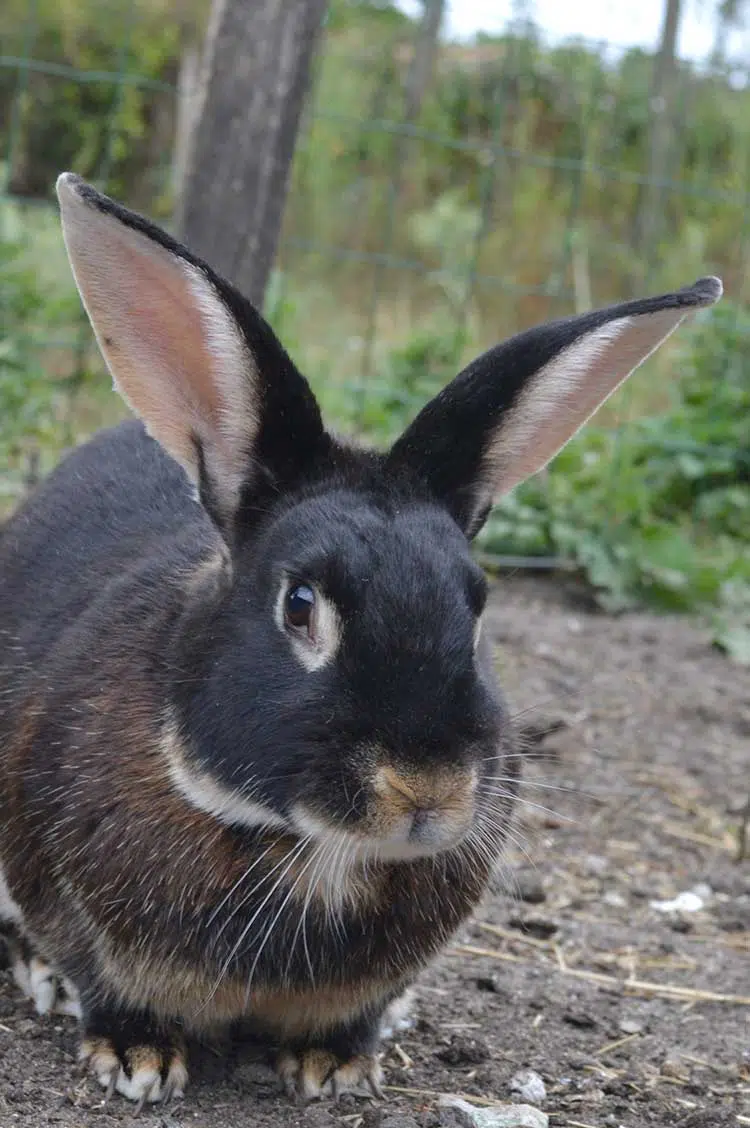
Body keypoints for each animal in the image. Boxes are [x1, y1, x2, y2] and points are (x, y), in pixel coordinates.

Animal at [0, 172, 722, 1109]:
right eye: (300, 605)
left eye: (478, 607)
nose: (426, 789)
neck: (321, 853)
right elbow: (107, 983)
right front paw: (136, 1057)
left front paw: (334, 1064)